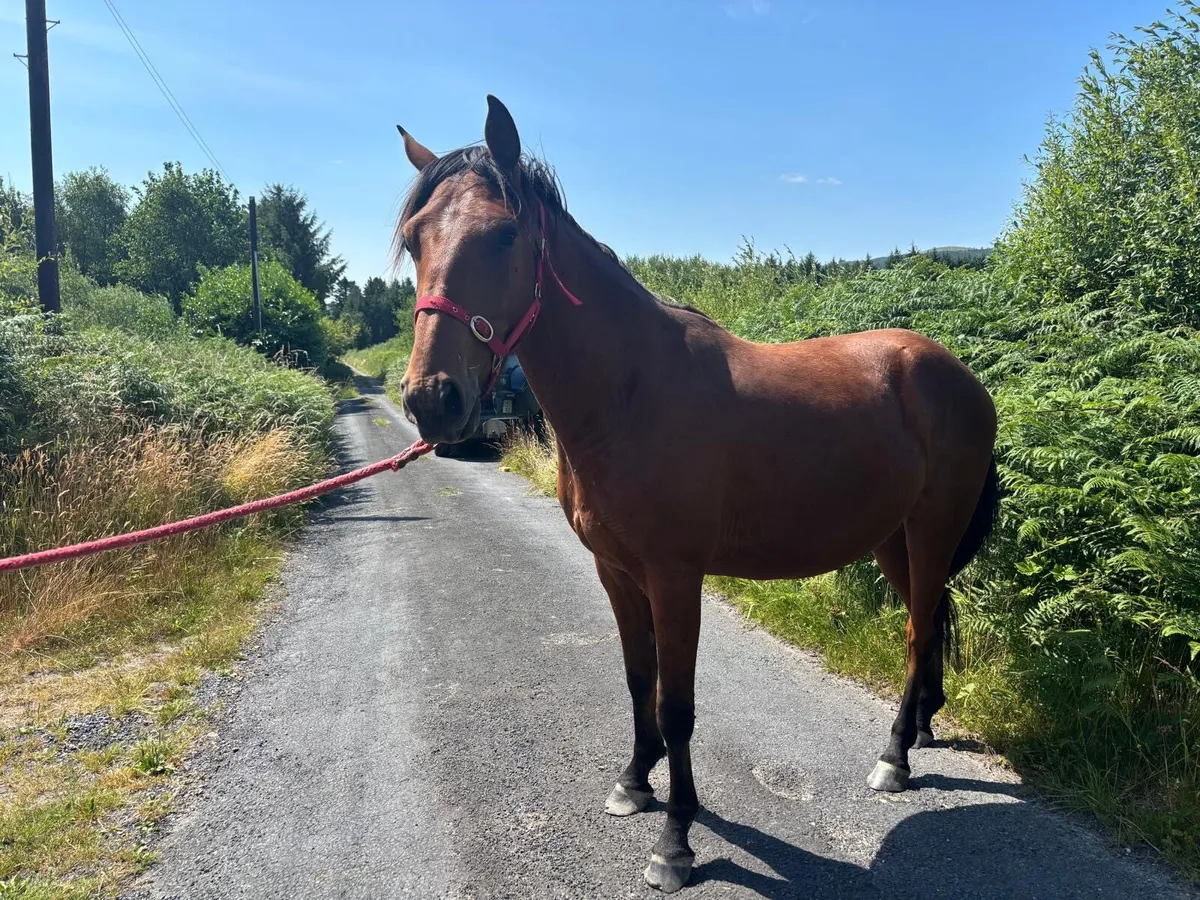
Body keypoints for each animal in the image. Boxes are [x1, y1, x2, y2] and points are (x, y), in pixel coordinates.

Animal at [395, 96, 1000, 893]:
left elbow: (676, 704)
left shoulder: (676, 577)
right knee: (927, 627)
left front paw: (676, 841)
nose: (432, 400)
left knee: (914, 632)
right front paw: (634, 782)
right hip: (892, 540)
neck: (628, 393)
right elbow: (637, 680)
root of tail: (956, 372)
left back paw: (894, 757)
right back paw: (923, 728)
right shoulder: (616, 571)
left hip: (931, 530)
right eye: (413, 241)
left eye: (503, 235)